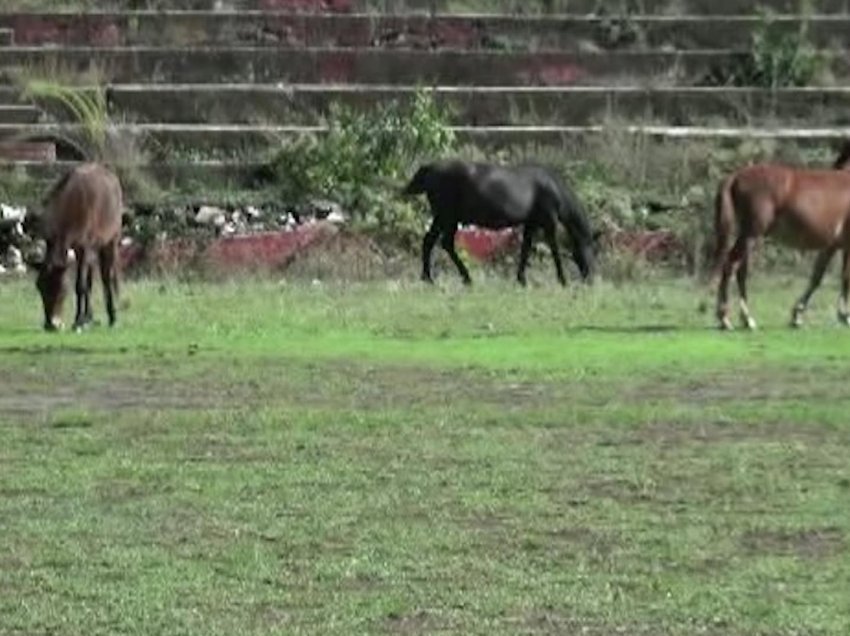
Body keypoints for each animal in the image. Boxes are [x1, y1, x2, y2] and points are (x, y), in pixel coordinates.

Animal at [33, 163, 121, 332]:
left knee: (107, 277)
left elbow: (80, 285)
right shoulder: (79, 249)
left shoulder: (84, 248)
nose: (50, 324)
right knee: (91, 280)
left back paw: (112, 317)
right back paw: (90, 317)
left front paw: (78, 321)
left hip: (110, 241)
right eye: (40, 288)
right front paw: (84, 319)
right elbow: (86, 285)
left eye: (61, 289)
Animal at [404, 159, 596, 286]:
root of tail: (430, 169)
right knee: (443, 243)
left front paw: (521, 279)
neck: (554, 188)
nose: (590, 278)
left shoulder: (531, 223)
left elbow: (525, 249)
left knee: (431, 241)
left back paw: (430, 277)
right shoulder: (548, 221)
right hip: (447, 216)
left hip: (444, 217)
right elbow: (554, 249)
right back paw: (461, 277)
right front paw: (562, 280)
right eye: (590, 250)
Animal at [712, 146, 850, 330]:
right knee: (731, 266)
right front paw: (844, 316)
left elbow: (818, 277)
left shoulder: (833, 246)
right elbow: (844, 278)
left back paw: (745, 319)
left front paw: (798, 315)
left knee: (740, 270)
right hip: (751, 234)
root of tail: (735, 176)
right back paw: (728, 319)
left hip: (747, 236)